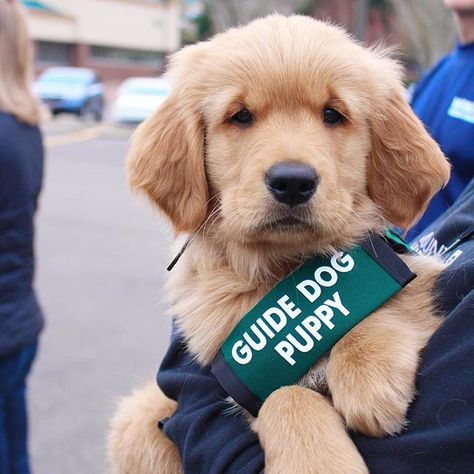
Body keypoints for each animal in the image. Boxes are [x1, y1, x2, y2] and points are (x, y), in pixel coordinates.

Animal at [109, 14, 450, 474]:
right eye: (240, 116)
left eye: (332, 114)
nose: (292, 181)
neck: (283, 269)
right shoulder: (240, 385)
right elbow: (284, 396)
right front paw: (318, 462)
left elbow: (390, 298)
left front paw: (368, 371)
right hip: (136, 419)